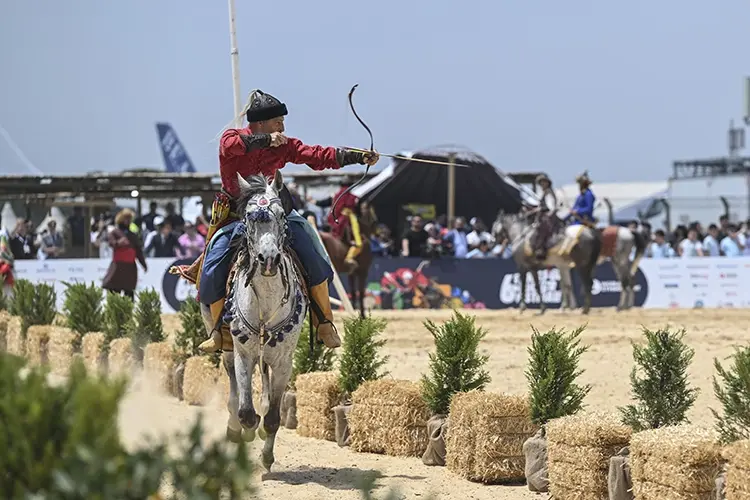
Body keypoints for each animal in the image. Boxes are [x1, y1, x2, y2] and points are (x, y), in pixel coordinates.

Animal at [200, 170, 308, 470]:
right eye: (249, 217)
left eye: (281, 215)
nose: (268, 259)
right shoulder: (244, 354)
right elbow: (246, 410)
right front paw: (245, 431)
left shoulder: (284, 361)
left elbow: (273, 417)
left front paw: (267, 456)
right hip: (226, 345)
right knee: (234, 392)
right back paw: (234, 427)